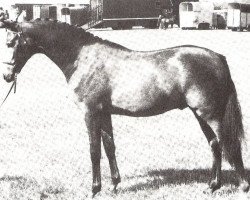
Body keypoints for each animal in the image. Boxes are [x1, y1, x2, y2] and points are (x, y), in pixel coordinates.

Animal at [0, 19, 249, 196]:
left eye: (10, 43)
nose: (6, 76)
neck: (83, 58)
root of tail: (218, 58)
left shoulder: (90, 113)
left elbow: (94, 151)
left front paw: (94, 189)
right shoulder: (104, 113)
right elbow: (109, 147)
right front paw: (114, 185)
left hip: (210, 114)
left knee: (228, 144)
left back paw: (241, 185)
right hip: (200, 114)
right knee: (215, 145)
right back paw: (212, 186)